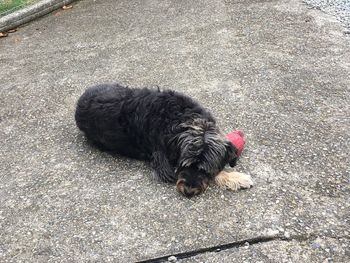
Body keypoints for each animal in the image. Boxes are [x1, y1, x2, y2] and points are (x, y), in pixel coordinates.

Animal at [75, 84, 253, 198]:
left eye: (205, 170)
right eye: (184, 165)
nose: (188, 192)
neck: (181, 118)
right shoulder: (164, 164)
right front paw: (236, 177)